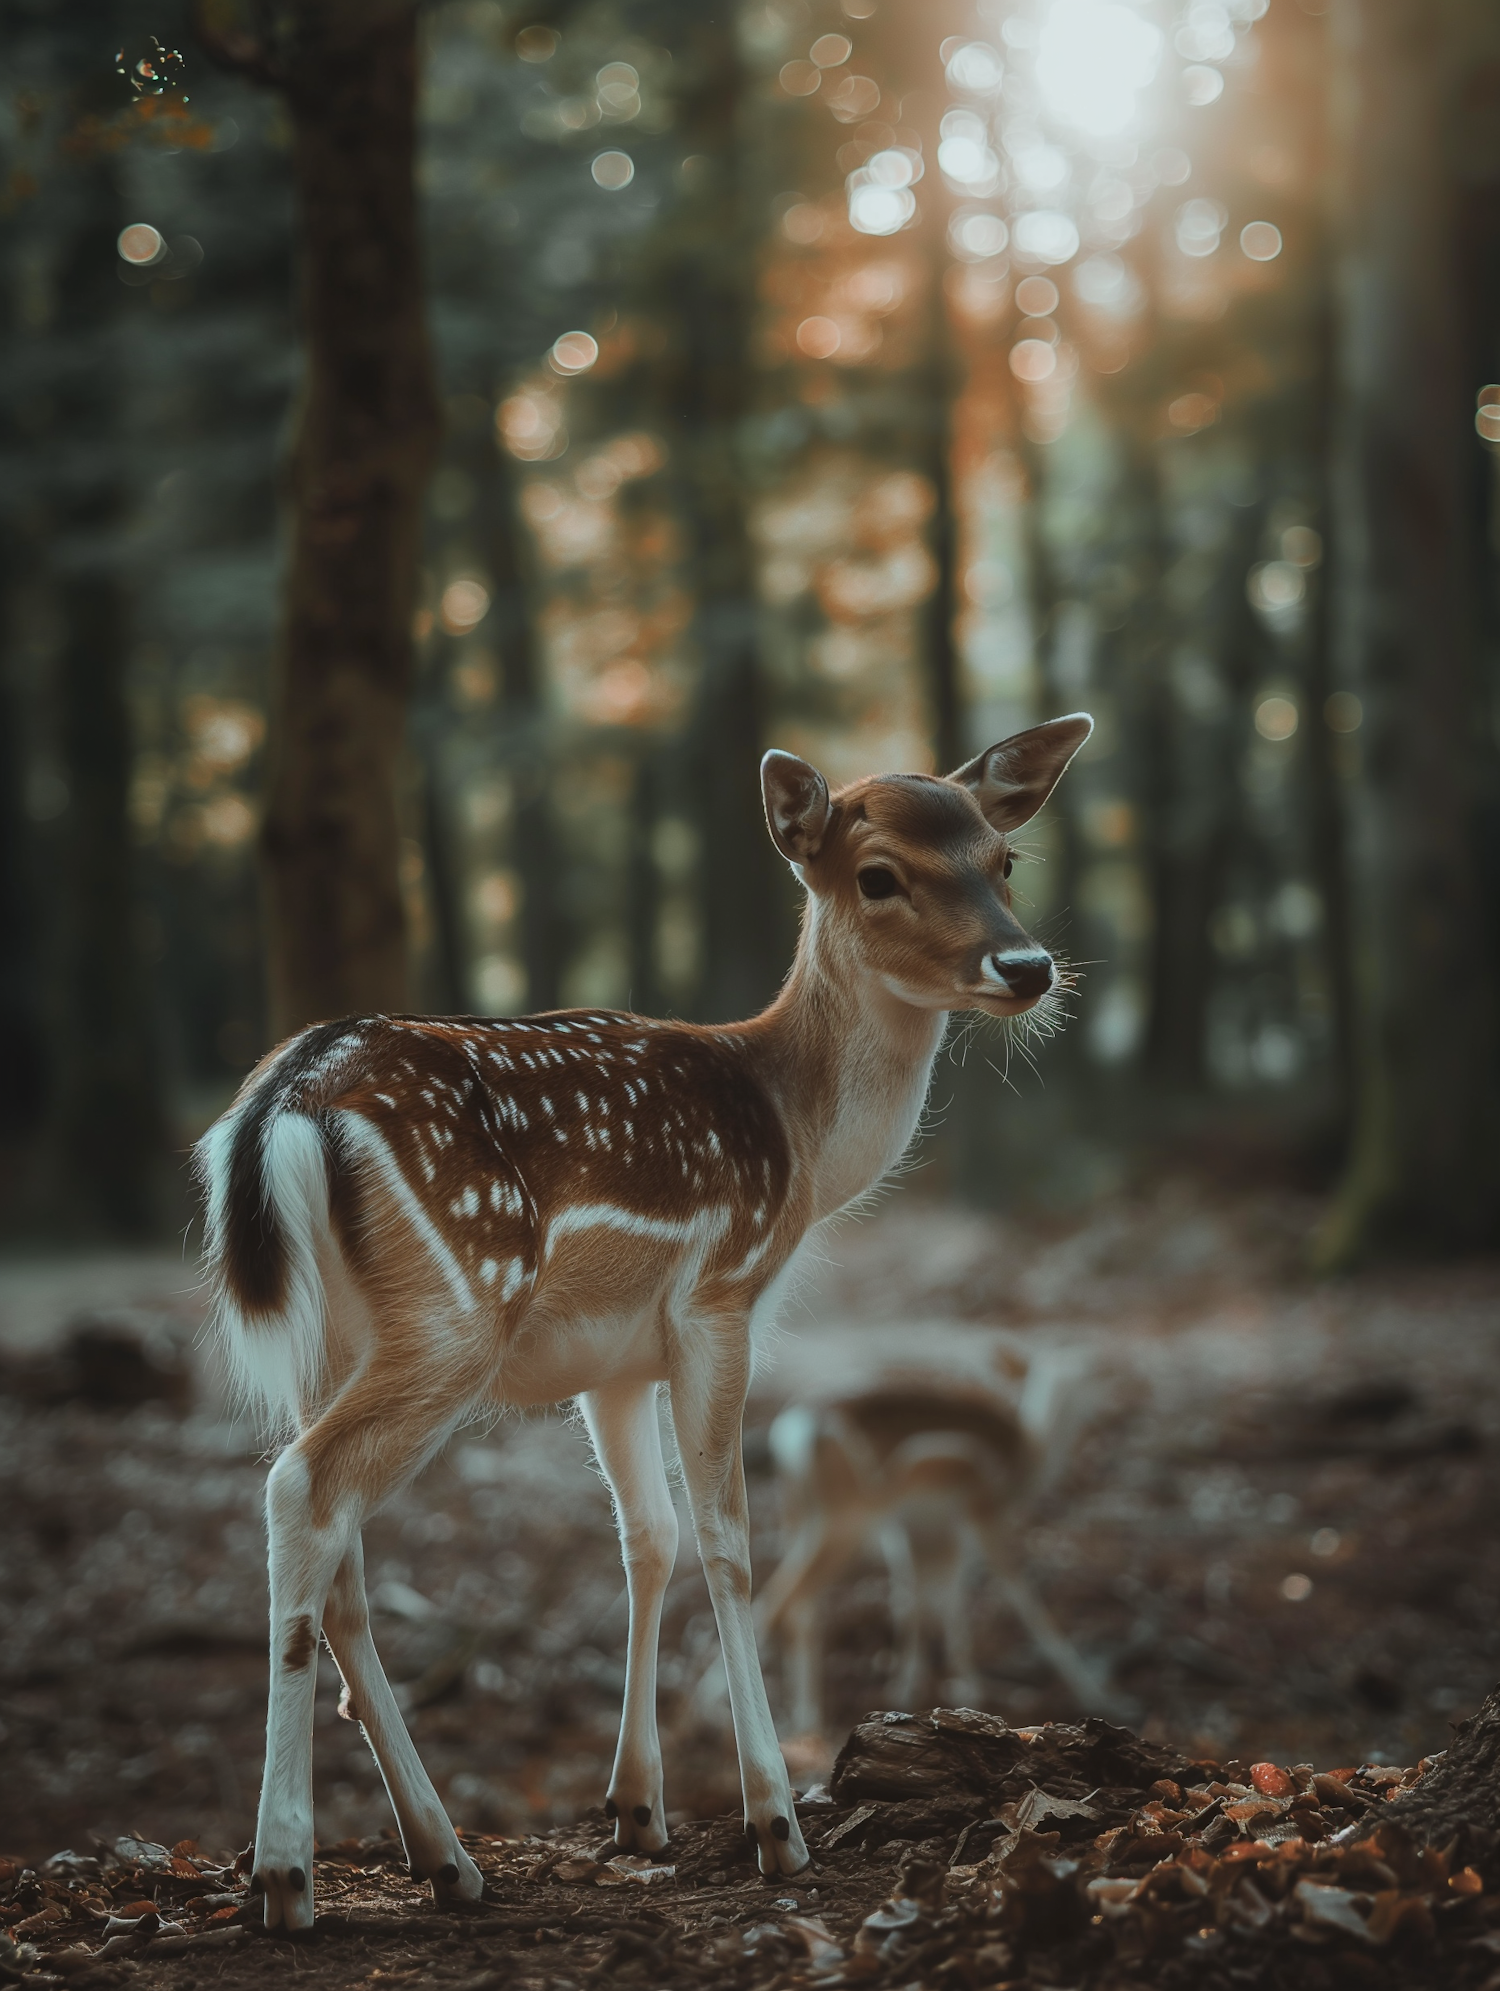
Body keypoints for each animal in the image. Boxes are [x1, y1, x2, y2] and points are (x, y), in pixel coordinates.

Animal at [752, 1337, 1107, 1744]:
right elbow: (1006, 1595)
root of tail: (792, 1430)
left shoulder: (915, 1527)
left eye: (1086, 1376)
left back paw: (802, 1724)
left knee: (798, 1609)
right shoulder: (978, 1515)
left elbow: (915, 1600)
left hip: (796, 1514)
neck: (1029, 1457)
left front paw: (912, 1691)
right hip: (847, 1518)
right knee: (777, 1604)